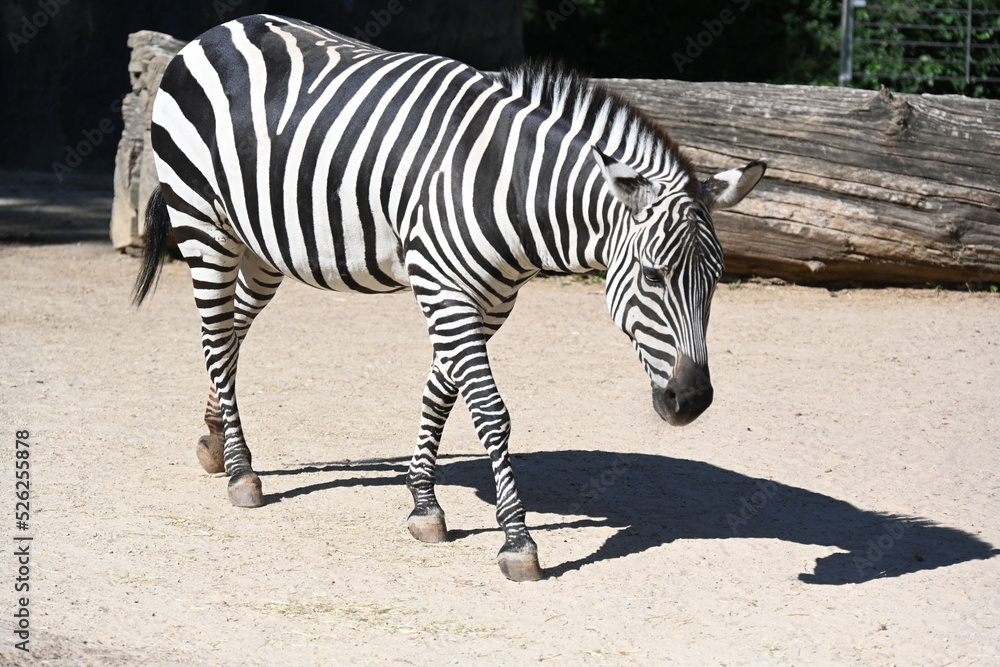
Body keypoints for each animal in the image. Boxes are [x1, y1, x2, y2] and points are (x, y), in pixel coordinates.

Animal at [135, 13, 764, 580]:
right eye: (654, 277)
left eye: (715, 280)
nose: (692, 402)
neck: (509, 189)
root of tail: (216, 29)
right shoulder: (446, 287)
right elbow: (489, 411)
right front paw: (518, 543)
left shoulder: (488, 300)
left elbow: (441, 392)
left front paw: (423, 504)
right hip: (203, 223)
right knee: (216, 337)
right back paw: (242, 473)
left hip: (264, 244)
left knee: (233, 328)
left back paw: (216, 440)